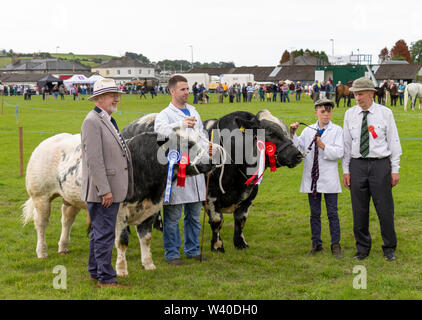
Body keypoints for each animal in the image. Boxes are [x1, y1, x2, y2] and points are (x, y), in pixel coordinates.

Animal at [21, 127, 213, 276]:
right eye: (187, 145)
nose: (210, 162)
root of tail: (48, 141)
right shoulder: (120, 213)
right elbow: (122, 241)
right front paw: (121, 269)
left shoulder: (150, 210)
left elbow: (146, 239)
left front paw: (148, 264)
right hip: (40, 196)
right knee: (41, 224)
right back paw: (42, 251)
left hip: (71, 198)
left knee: (67, 220)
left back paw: (63, 247)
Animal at [123, 109, 304, 252]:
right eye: (271, 133)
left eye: (286, 130)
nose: (297, 155)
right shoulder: (210, 195)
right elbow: (217, 220)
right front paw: (217, 245)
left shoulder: (248, 198)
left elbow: (241, 220)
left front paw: (240, 243)